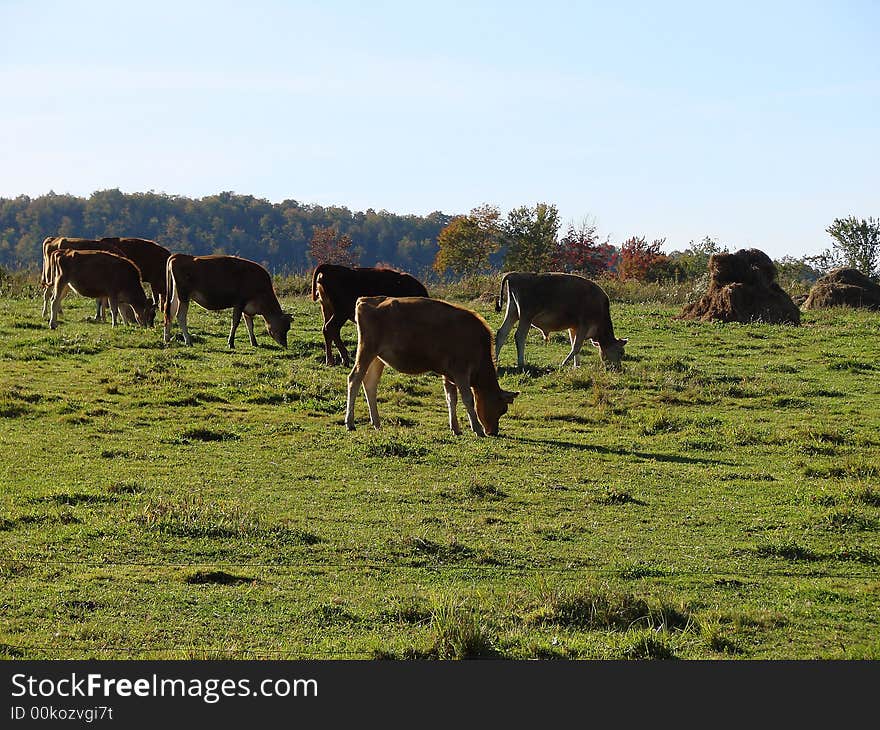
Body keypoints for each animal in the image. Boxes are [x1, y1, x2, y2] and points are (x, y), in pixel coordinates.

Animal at [162, 255, 292, 348]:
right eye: (284, 327)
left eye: (288, 328)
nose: (285, 345)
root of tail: (177, 256)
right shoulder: (239, 303)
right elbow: (235, 322)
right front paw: (231, 343)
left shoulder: (247, 308)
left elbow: (250, 325)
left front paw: (254, 342)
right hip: (184, 296)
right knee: (180, 316)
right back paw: (188, 341)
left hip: (176, 295)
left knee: (169, 312)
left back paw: (167, 339)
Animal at [344, 292, 520, 436]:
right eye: (502, 409)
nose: (493, 432)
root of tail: (366, 299)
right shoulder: (461, 371)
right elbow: (467, 398)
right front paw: (477, 429)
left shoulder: (448, 374)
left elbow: (451, 398)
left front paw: (455, 428)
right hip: (366, 350)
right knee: (354, 379)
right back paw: (350, 423)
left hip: (377, 358)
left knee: (370, 384)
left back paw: (377, 423)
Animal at [496, 270, 624, 366]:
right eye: (621, 352)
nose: (618, 368)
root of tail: (515, 274)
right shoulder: (584, 324)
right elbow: (576, 347)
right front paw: (563, 363)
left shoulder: (574, 327)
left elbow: (574, 344)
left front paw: (576, 366)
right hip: (526, 316)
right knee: (519, 336)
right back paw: (521, 362)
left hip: (512, 312)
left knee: (502, 333)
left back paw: (496, 360)